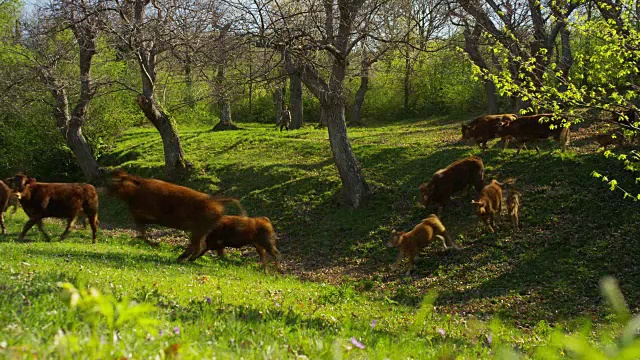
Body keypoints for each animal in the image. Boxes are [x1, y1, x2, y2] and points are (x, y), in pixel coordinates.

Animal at [106, 170, 244, 262]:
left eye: (118, 180)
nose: (105, 187)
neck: (134, 193)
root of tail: (216, 201)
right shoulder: (138, 217)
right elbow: (142, 232)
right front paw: (154, 244)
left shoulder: (140, 214)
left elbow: (143, 232)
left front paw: (156, 245)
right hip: (203, 229)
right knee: (200, 245)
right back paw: (185, 259)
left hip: (200, 228)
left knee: (198, 245)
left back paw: (182, 259)